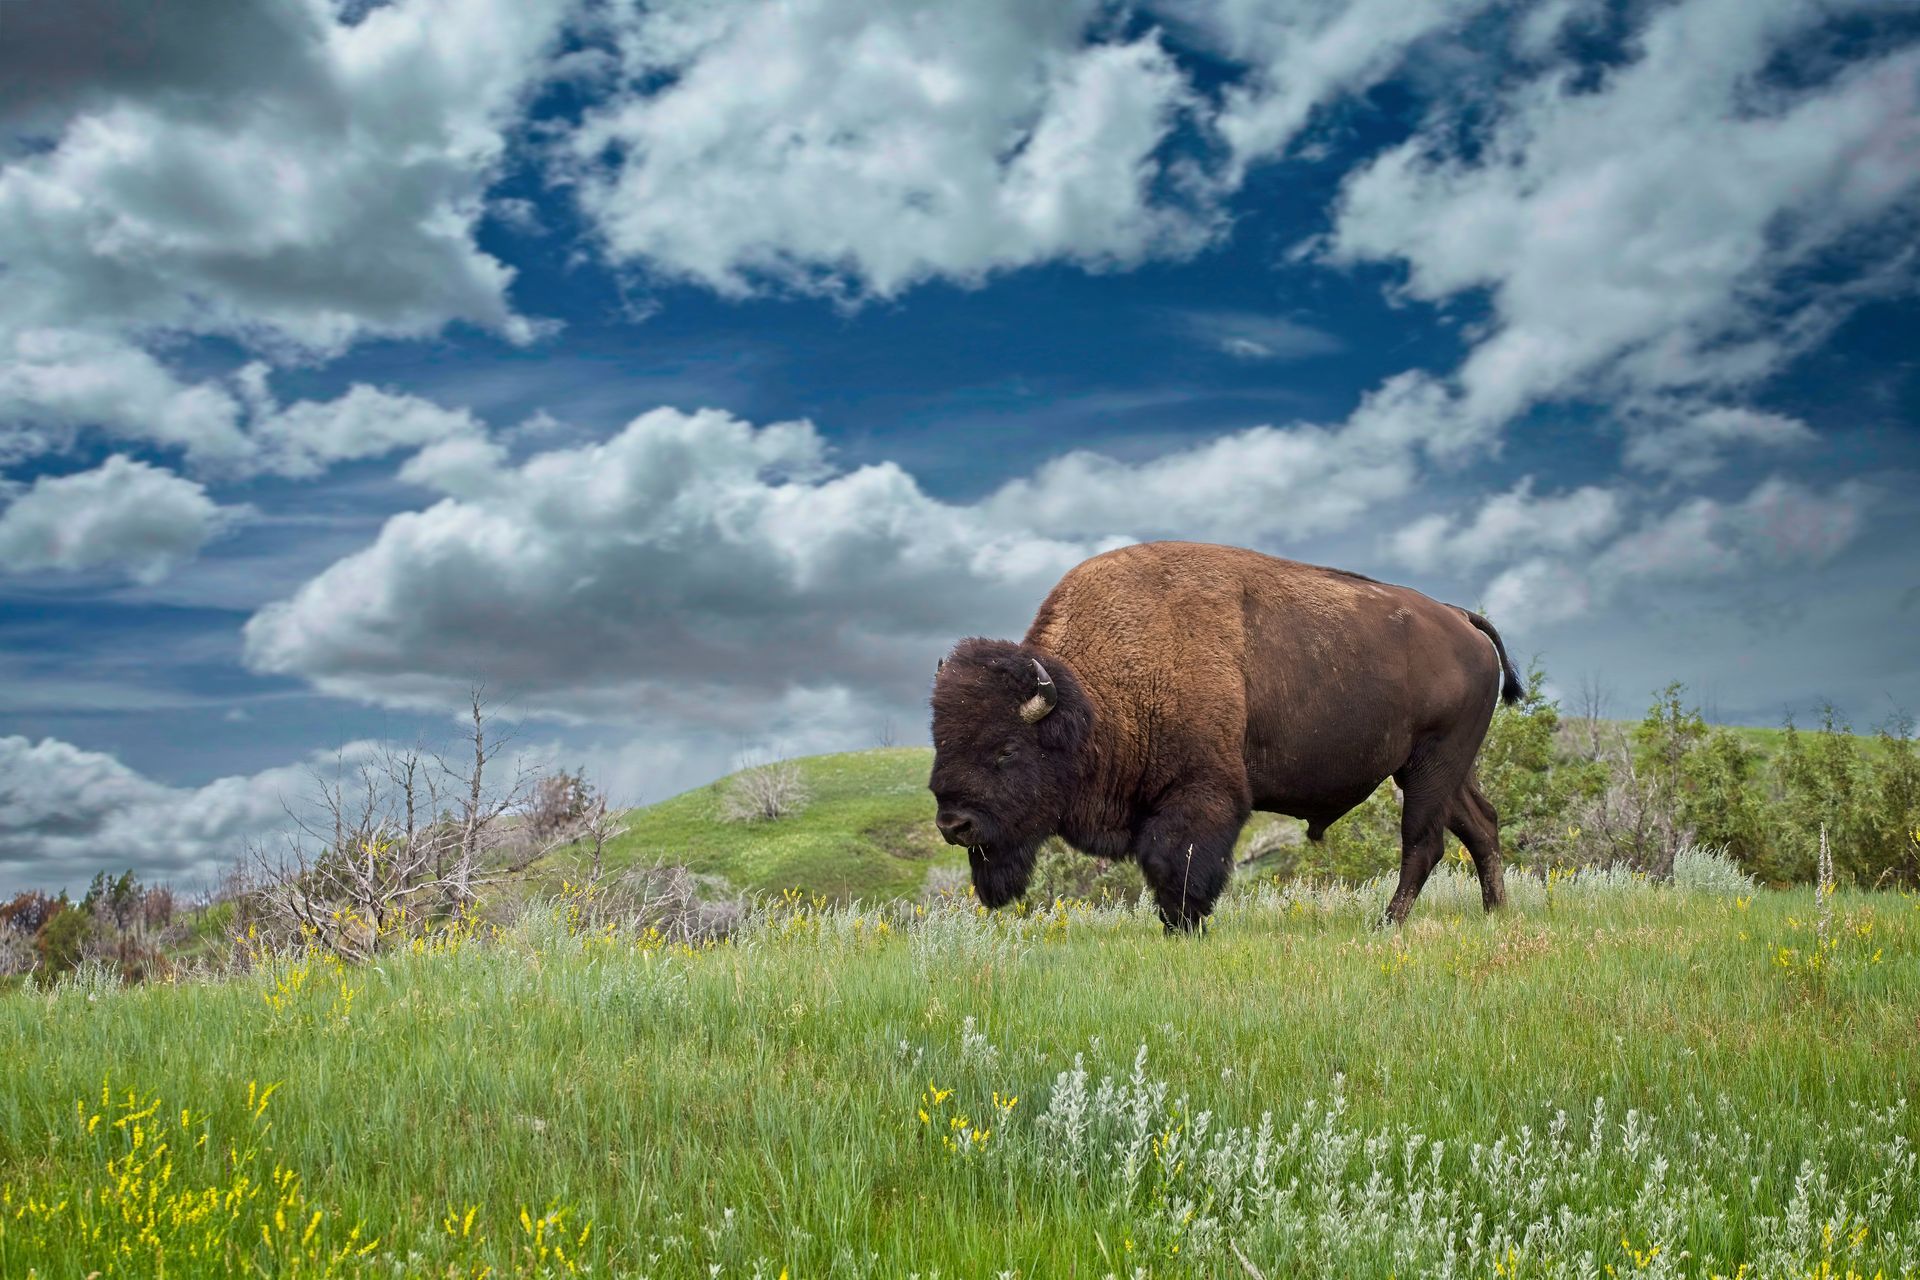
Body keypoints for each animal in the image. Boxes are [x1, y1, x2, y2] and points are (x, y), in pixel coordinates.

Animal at [929, 541, 1528, 932]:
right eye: (941, 742)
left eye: (1005, 751)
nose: (953, 824)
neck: (1092, 699)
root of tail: (1461, 618)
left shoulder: (1201, 794)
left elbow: (1177, 866)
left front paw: (1184, 929)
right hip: (1440, 768)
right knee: (1480, 825)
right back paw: (1495, 913)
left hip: (1432, 763)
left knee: (1423, 842)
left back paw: (1387, 925)